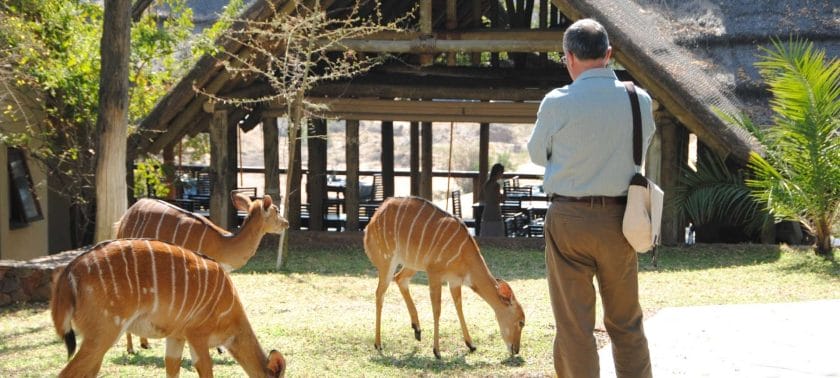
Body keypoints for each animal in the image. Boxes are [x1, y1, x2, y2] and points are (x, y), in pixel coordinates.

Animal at [53, 239, 288, 378]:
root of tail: (69, 273)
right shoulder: (197, 335)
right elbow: (205, 369)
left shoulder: (176, 337)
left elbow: (172, 368)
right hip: (103, 334)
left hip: (96, 338)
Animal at [114, 193, 288, 352]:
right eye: (276, 210)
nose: (286, 223)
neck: (224, 243)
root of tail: (123, 219)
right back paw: (131, 348)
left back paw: (145, 343)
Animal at [362, 196, 520, 358]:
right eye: (521, 321)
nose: (516, 350)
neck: (465, 255)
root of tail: (370, 225)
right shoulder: (435, 273)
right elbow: (437, 310)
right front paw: (437, 351)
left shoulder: (454, 281)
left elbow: (459, 307)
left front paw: (471, 345)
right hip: (387, 262)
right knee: (380, 293)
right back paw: (378, 344)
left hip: (413, 264)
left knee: (400, 279)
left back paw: (417, 329)